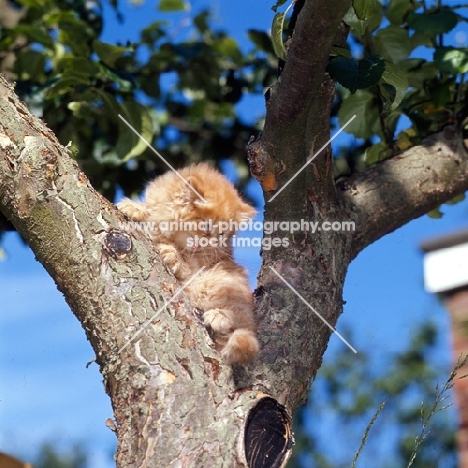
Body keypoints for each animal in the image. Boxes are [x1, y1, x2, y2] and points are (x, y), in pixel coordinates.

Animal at [115, 165, 258, 366]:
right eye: (206, 227)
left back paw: (219, 317)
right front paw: (135, 208)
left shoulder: (200, 265)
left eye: (222, 234)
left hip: (223, 281)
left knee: (242, 325)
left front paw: (170, 254)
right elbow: (151, 215)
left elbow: (183, 264)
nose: (209, 243)